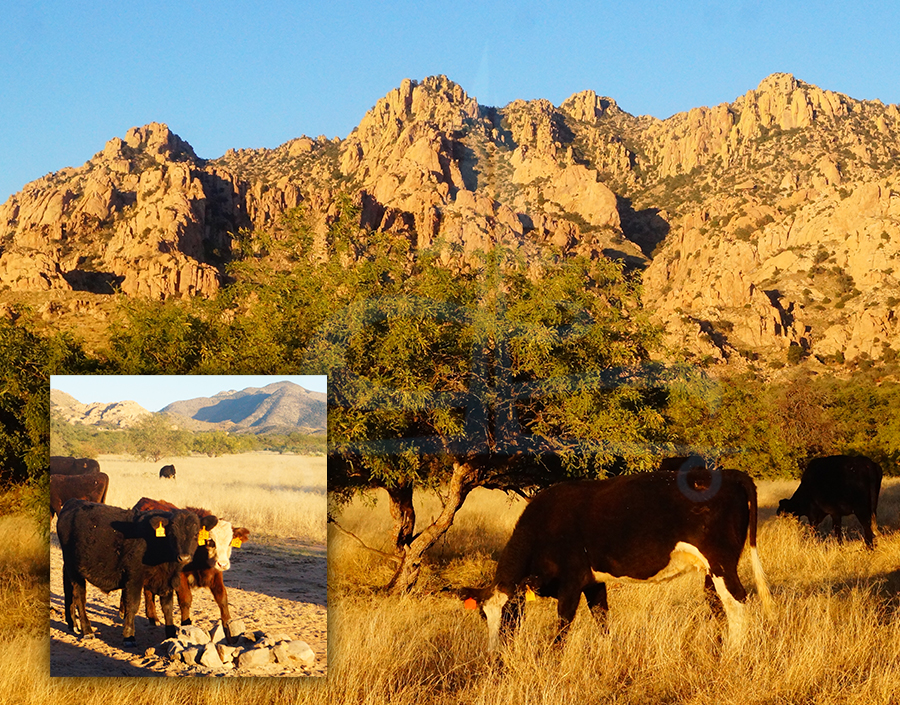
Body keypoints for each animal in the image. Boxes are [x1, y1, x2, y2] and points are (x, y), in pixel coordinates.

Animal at [57, 498, 218, 648]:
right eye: (172, 534)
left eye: (196, 534)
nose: (184, 557)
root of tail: (73, 502)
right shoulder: (134, 578)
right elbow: (133, 605)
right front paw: (129, 636)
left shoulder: (167, 581)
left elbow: (168, 607)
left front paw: (171, 633)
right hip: (74, 570)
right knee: (79, 597)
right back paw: (87, 630)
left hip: (69, 568)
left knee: (68, 591)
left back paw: (72, 624)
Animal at [130, 498, 250, 640]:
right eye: (210, 541)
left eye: (230, 542)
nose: (223, 564)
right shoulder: (180, 576)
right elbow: (185, 600)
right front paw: (186, 626)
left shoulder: (215, 574)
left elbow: (222, 598)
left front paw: (228, 627)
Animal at [460, 464, 768, 652]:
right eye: (482, 615)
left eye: (510, 612)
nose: (494, 653)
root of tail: (728, 474)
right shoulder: (593, 582)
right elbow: (601, 618)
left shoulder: (571, 581)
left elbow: (563, 626)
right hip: (712, 569)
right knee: (717, 603)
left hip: (722, 564)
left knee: (737, 603)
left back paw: (732, 653)